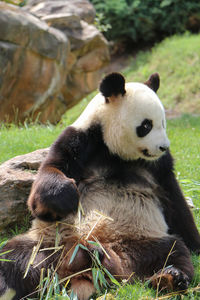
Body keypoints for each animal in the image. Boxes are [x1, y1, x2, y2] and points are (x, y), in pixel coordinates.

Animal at [1, 72, 200, 300]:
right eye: (146, 126)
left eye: (164, 123)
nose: (163, 147)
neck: (115, 152)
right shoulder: (79, 141)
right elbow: (46, 182)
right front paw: (67, 196)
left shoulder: (159, 167)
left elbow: (175, 202)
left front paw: (196, 246)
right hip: (49, 242)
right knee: (16, 259)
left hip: (144, 242)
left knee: (174, 251)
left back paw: (169, 278)